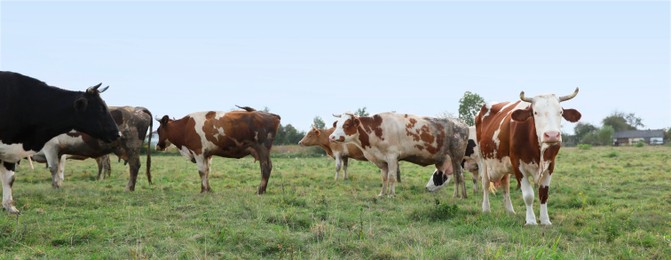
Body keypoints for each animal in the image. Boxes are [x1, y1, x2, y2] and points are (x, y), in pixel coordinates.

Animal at [330, 112, 468, 197]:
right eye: (337, 124)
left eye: (347, 124)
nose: (331, 137)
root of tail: (461, 123)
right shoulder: (382, 161)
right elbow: (384, 178)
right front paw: (382, 194)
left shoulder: (392, 157)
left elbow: (392, 177)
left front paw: (391, 195)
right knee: (458, 176)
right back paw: (462, 195)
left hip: (457, 156)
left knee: (458, 176)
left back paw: (458, 196)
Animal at [478, 88, 584, 225]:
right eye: (535, 112)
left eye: (560, 112)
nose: (552, 135)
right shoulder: (517, 164)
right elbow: (528, 195)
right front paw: (531, 221)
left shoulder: (550, 165)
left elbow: (544, 194)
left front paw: (545, 220)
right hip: (483, 160)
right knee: (485, 184)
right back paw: (486, 209)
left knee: (505, 185)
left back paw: (510, 211)